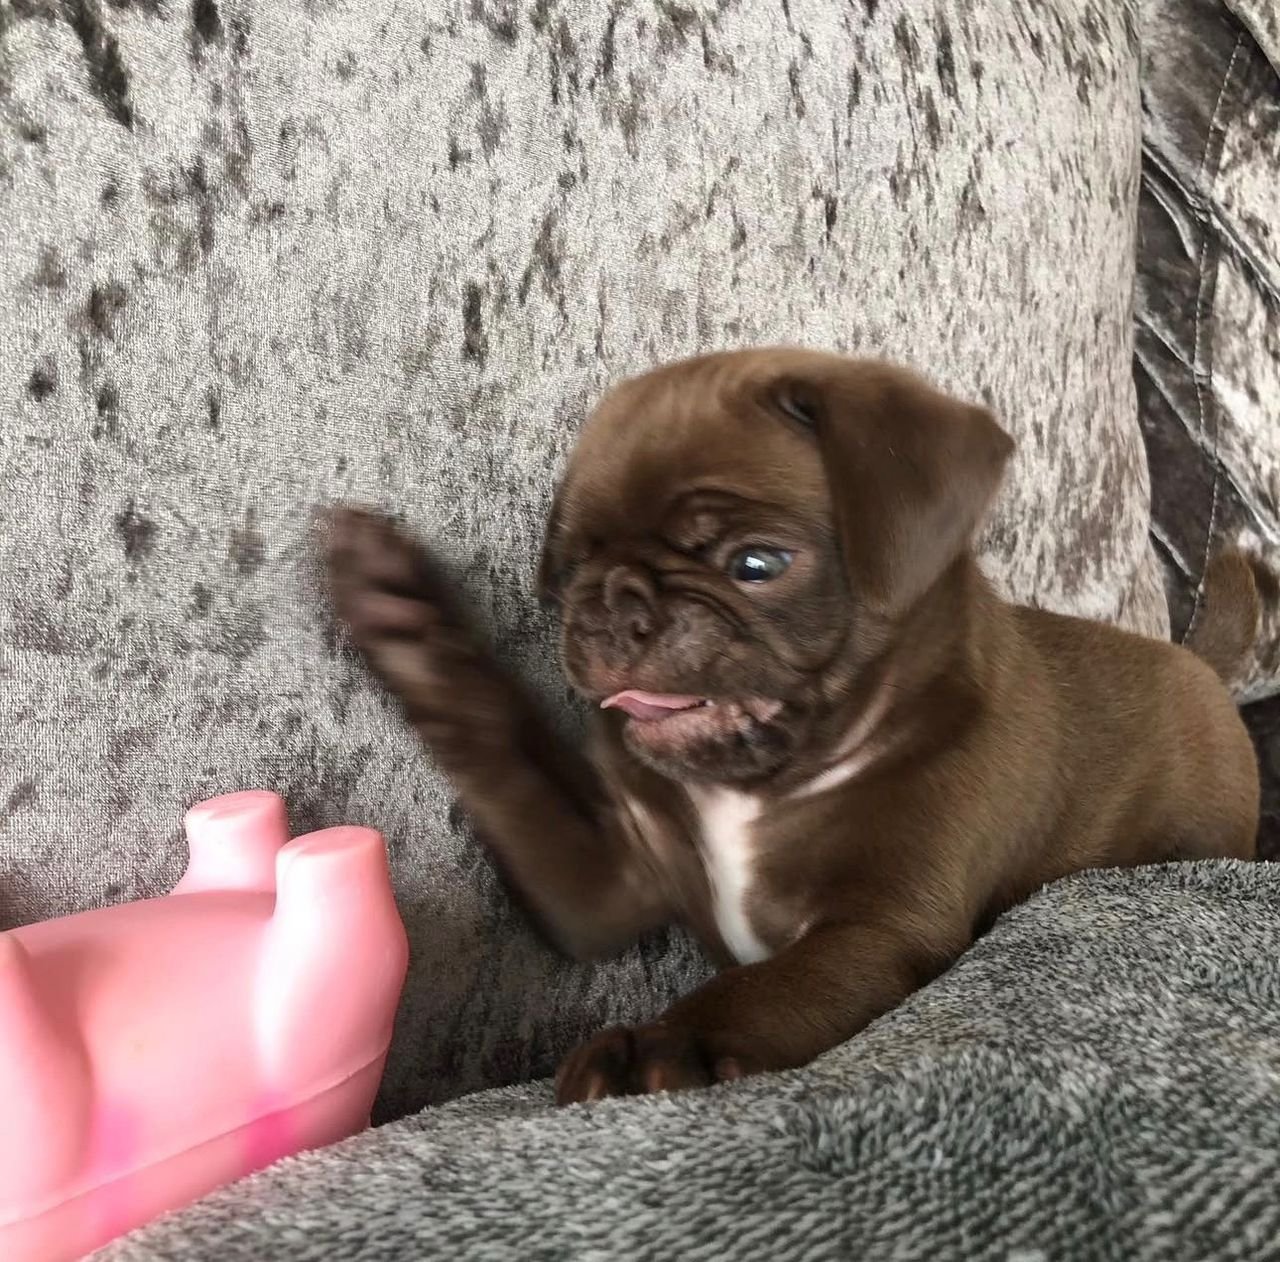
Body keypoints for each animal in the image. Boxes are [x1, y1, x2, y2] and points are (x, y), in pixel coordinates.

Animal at [326, 349, 1261, 1105]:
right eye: (575, 565)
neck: (762, 786)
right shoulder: (599, 886)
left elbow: (763, 991)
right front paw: (405, 616)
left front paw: (660, 1045)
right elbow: (506, 758)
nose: (614, 605)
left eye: (756, 564)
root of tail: (1201, 666)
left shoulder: (877, 926)